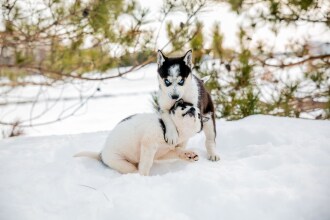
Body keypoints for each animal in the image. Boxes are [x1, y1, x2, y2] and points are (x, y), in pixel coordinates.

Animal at [75, 100, 209, 176]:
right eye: (183, 107)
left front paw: (189, 155)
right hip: (120, 162)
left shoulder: (163, 153)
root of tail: (101, 154)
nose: (192, 109)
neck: (179, 132)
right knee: (132, 169)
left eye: (199, 115)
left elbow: (178, 150)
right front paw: (145, 177)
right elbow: (146, 164)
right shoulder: (148, 144)